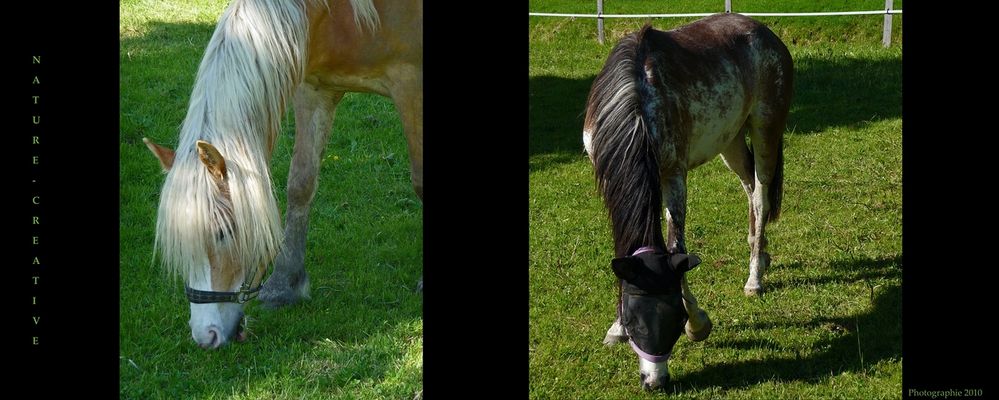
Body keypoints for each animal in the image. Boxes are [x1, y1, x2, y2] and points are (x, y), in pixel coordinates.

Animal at [142, 0, 422, 348]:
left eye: (223, 232)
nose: (206, 335)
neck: (340, 14)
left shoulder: (411, 85)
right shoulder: (315, 88)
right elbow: (300, 183)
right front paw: (285, 283)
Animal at [584, 14, 792, 390]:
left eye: (675, 319)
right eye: (635, 324)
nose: (655, 382)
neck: (638, 101)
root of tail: (765, 32)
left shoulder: (674, 174)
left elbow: (676, 246)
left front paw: (699, 324)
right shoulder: (608, 181)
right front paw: (615, 328)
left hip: (766, 128)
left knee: (761, 193)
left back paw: (754, 278)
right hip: (730, 140)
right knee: (748, 186)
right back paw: (762, 253)